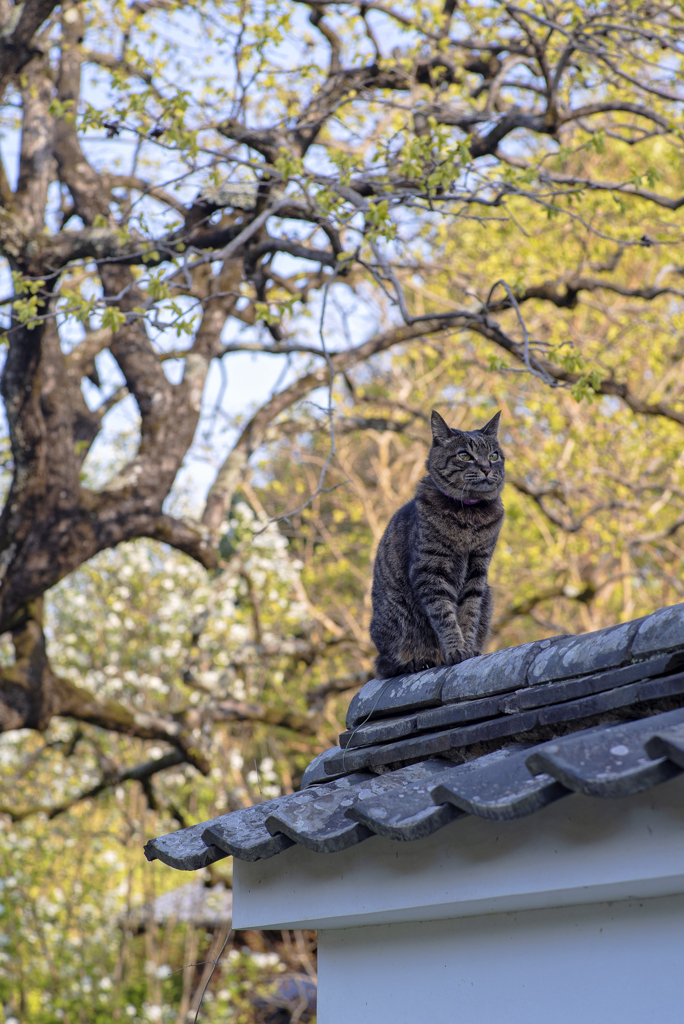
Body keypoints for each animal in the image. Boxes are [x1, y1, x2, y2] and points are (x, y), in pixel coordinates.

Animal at [370, 407, 505, 679]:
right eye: (464, 455)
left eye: (494, 455)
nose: (487, 468)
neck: (469, 516)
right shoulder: (431, 570)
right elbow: (445, 615)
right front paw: (456, 650)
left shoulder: (478, 571)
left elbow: (468, 613)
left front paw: (468, 648)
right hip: (395, 619)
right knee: (385, 665)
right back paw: (416, 661)